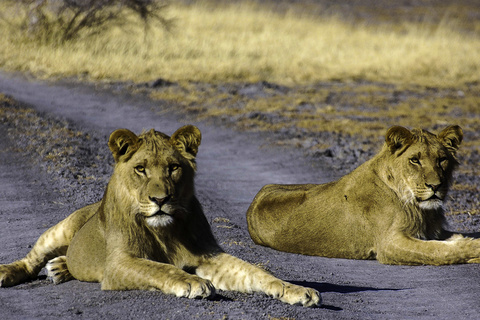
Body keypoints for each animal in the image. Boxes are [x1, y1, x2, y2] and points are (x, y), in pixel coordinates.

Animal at [1, 125, 320, 308]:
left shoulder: (208, 256)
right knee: (32, 258)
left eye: (173, 168)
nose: (160, 200)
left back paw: (60, 267)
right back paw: (9, 272)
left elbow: (255, 272)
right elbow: (159, 268)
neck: (165, 229)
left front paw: (295, 289)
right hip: (62, 228)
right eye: (141, 169)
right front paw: (192, 283)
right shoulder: (119, 263)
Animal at [248, 125, 480, 264]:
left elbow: (446, 242)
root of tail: (255, 199)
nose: (435, 185)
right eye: (415, 160)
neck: (421, 210)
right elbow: (438, 252)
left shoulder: (432, 231)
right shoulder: (388, 243)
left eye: (442, 159)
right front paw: (472, 248)